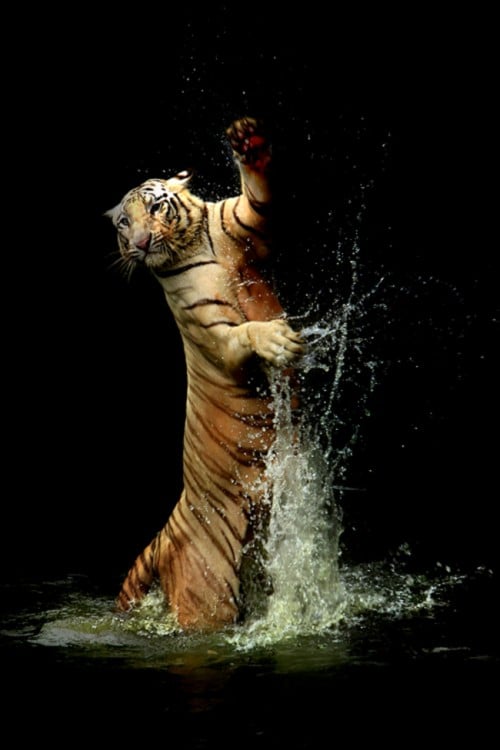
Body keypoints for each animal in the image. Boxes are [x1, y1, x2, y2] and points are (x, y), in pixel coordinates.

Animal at [104, 119, 304, 636]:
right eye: (124, 223)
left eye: (156, 207)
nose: (141, 244)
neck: (192, 244)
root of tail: (166, 533)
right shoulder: (213, 336)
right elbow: (245, 334)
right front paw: (279, 339)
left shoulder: (250, 223)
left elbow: (261, 197)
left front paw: (247, 140)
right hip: (209, 596)